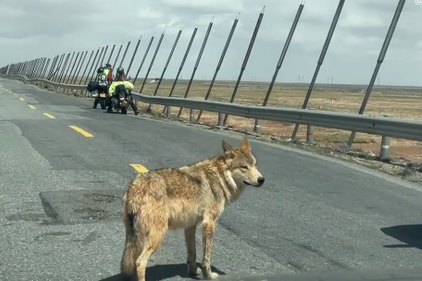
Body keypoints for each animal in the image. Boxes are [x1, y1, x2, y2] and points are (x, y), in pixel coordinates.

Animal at [119, 136, 264, 280]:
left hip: (134, 238)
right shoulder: (209, 223)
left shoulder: (190, 226)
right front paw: (208, 275)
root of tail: (134, 186)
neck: (220, 177)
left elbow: (192, 253)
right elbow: (206, 257)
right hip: (157, 236)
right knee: (139, 262)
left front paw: (193, 272)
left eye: (255, 165)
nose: (261, 180)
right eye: (244, 167)